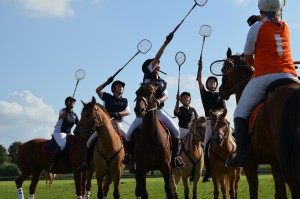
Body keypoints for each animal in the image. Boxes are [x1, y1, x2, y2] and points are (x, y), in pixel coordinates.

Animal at [218, 47, 300, 197]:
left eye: (224, 68)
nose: (221, 90)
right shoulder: (275, 164)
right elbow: (280, 193)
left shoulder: (250, 164)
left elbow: (254, 191)